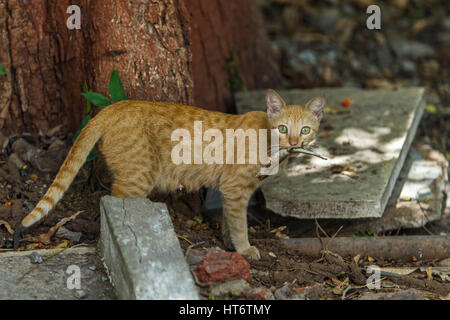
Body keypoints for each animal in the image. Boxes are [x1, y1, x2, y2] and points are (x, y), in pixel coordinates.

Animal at [14, 89, 324, 258]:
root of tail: (115, 105)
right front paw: (244, 248)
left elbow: (228, 221)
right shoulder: (236, 189)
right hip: (138, 179)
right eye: (283, 128)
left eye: (305, 130)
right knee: (111, 203)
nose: (294, 141)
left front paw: (228, 244)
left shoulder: (229, 190)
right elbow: (239, 224)